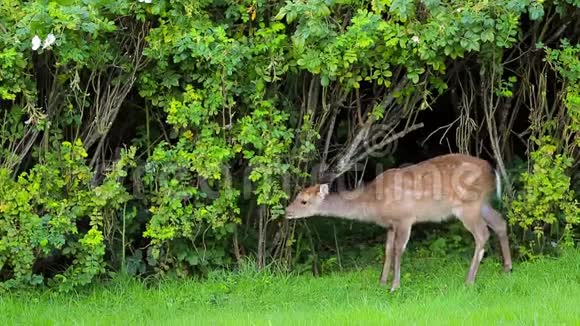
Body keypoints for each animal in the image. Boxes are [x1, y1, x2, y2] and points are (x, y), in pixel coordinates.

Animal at [286, 154, 512, 292]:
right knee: (500, 222)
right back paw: (507, 269)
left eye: (303, 201)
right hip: (482, 203)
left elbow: (398, 249)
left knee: (482, 233)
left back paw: (469, 280)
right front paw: (382, 281)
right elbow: (387, 250)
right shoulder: (390, 224)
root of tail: (492, 170)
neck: (374, 203)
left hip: (468, 206)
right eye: (296, 195)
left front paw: (394, 286)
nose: (287, 212)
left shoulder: (405, 218)